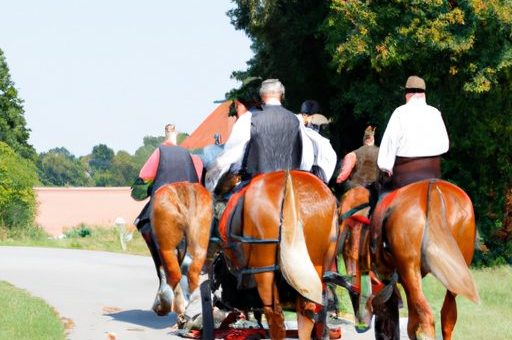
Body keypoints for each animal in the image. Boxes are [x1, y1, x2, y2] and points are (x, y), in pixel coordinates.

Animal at [149, 182, 213, 318]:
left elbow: (162, 274)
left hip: (166, 246)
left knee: (174, 274)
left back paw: (166, 306)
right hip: (199, 239)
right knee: (191, 272)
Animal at [340, 179, 480, 338]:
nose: (360, 324)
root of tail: (433, 188)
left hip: (409, 272)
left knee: (425, 320)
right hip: (452, 278)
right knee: (446, 318)